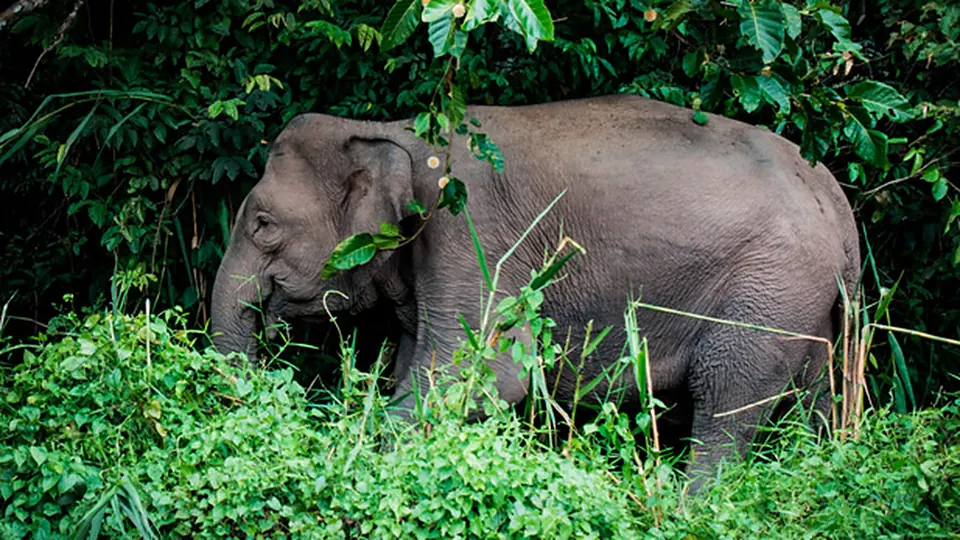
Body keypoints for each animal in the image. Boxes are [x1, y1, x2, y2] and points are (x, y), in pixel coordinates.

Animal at [211, 94, 860, 488]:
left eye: (263, 224)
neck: (388, 129)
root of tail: (836, 201)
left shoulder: (472, 233)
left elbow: (483, 376)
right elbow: (422, 370)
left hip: (769, 288)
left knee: (726, 398)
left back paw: (685, 505)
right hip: (804, 303)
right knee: (810, 400)